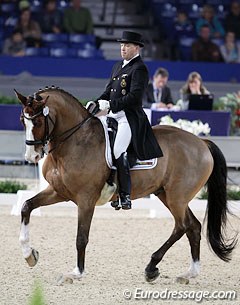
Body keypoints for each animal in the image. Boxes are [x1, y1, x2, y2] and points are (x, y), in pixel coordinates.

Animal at [14, 86, 236, 282]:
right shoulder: (58, 192)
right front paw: (29, 255)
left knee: (182, 226)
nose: (32, 156)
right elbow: (26, 206)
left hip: (177, 198)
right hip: (167, 195)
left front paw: (76, 273)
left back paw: (152, 267)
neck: (76, 141)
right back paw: (189, 273)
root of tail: (202, 143)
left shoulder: (86, 200)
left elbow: (81, 237)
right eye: (22, 120)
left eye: (39, 120)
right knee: (193, 227)